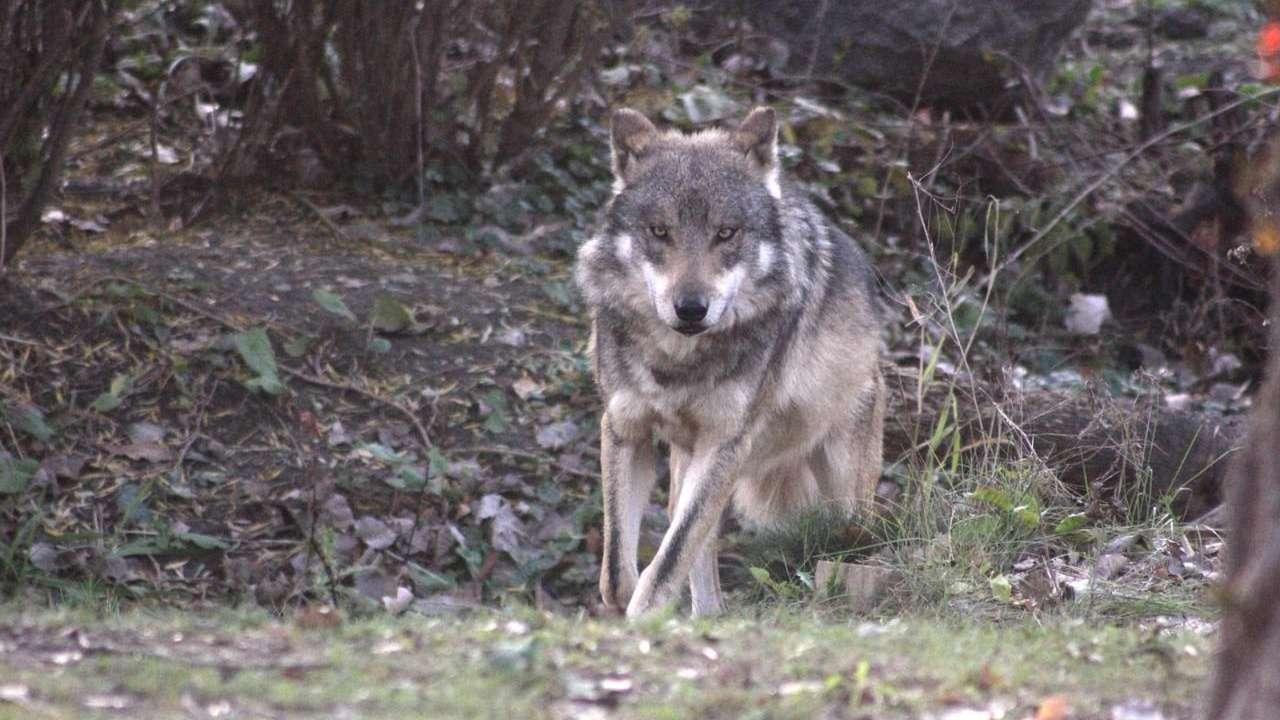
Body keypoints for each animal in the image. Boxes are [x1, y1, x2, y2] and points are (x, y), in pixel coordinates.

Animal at [574, 106, 885, 618]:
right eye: (660, 231)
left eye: (726, 233)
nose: (691, 308)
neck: (678, 361)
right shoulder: (624, 429)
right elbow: (618, 571)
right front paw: (626, 611)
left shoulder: (725, 444)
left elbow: (668, 559)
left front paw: (643, 618)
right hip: (689, 466)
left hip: (842, 496)